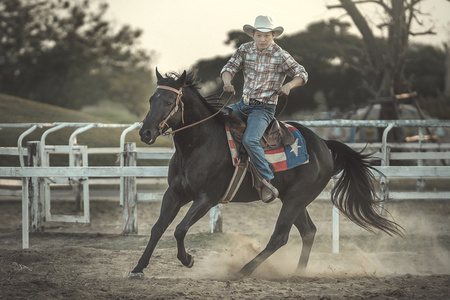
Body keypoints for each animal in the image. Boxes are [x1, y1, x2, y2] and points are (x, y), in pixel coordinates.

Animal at [131, 68, 404, 278]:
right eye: (151, 100)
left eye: (169, 102)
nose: (145, 133)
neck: (198, 144)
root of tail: (323, 145)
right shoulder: (174, 194)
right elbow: (157, 228)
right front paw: (138, 268)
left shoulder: (206, 199)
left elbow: (179, 229)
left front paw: (188, 259)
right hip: (294, 200)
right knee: (308, 231)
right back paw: (298, 273)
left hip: (296, 199)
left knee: (280, 237)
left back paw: (243, 270)